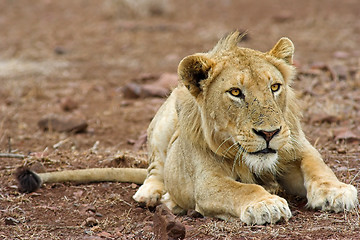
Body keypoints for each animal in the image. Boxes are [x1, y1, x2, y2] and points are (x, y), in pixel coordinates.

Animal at [16, 31, 358, 225]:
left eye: (275, 86)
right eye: (236, 92)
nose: (269, 134)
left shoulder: (297, 147)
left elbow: (318, 166)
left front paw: (338, 191)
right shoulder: (207, 182)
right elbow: (241, 188)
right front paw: (266, 204)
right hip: (167, 116)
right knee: (156, 169)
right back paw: (159, 197)